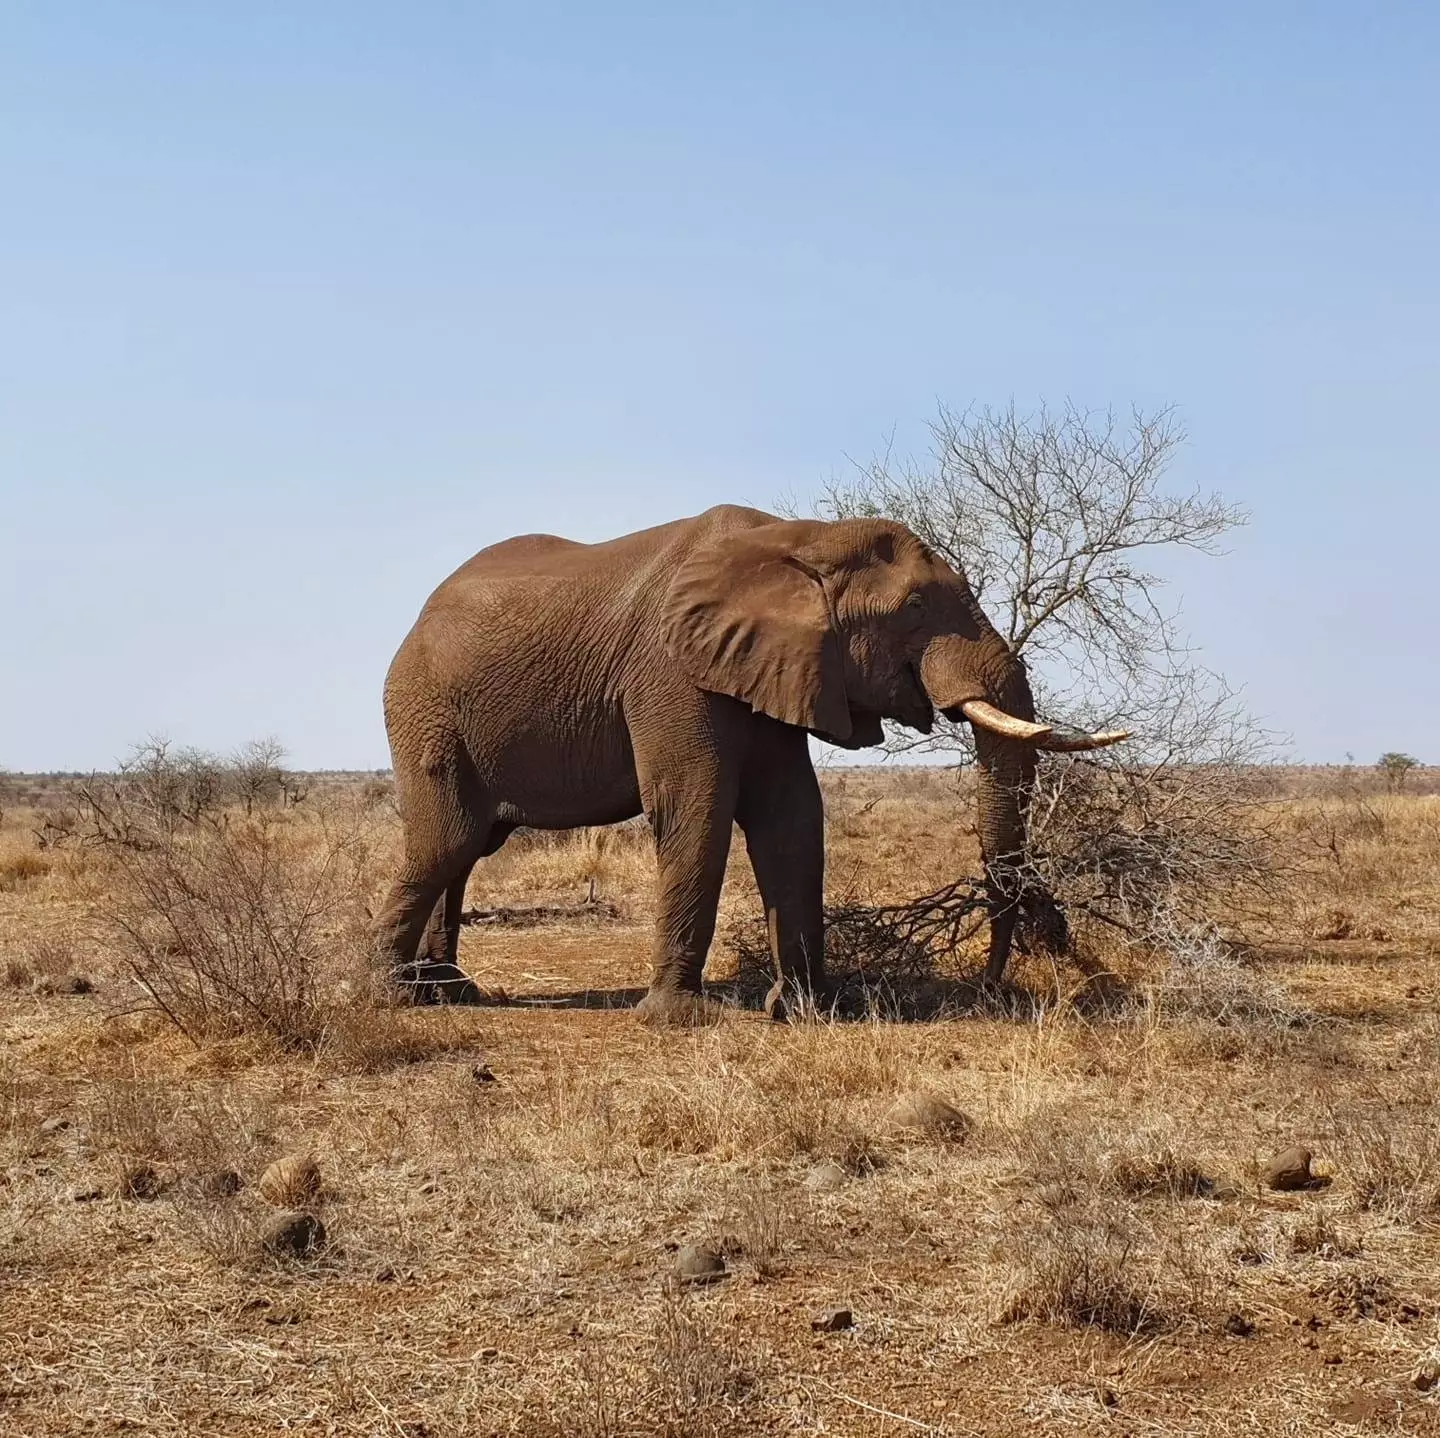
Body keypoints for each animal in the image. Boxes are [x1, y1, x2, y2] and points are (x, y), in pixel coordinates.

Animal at [374, 506, 1123, 1024]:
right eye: (914, 606)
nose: (993, 985)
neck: (801, 538)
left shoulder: (783, 668)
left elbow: (792, 820)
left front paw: (804, 1012)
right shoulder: (672, 672)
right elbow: (696, 809)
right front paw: (681, 1020)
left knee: (466, 848)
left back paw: (448, 992)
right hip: (424, 707)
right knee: (448, 839)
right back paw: (388, 995)